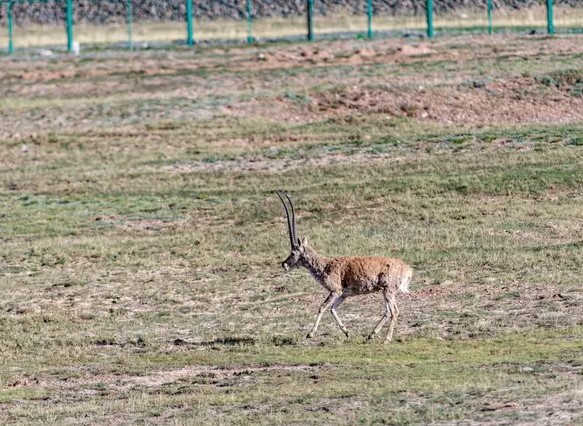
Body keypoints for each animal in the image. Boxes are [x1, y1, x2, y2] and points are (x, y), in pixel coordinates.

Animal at [278, 191, 410, 342]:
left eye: (293, 252)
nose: (284, 264)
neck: (325, 265)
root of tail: (407, 269)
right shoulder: (344, 294)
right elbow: (332, 309)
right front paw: (347, 332)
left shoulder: (335, 291)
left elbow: (322, 307)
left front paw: (310, 333)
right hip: (386, 291)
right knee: (388, 311)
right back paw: (371, 335)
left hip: (388, 291)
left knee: (394, 311)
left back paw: (386, 339)